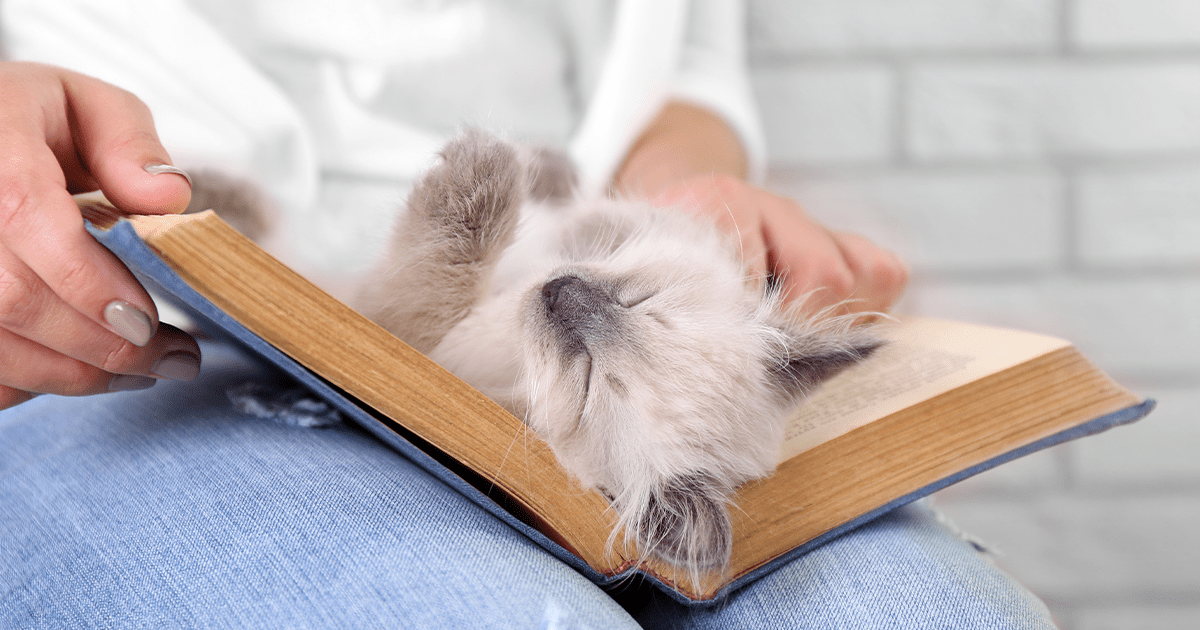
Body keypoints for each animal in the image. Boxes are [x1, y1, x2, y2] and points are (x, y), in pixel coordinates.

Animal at [350, 130, 878, 578]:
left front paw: (483, 161)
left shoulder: (425, 339)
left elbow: (440, 274)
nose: (559, 292)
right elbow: (579, 206)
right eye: (640, 301)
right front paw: (538, 162)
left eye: (589, 381)